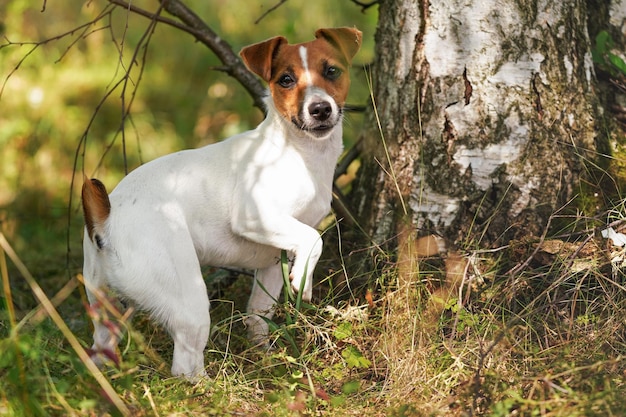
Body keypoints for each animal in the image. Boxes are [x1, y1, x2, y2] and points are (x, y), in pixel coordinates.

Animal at [80, 27, 360, 378]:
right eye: (285, 80)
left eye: (332, 71)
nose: (320, 109)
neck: (297, 151)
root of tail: (107, 219)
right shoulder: (255, 216)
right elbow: (313, 238)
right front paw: (304, 278)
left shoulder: (272, 261)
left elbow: (258, 314)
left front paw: (265, 357)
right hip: (189, 302)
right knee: (184, 368)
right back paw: (209, 385)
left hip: (103, 308)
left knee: (99, 351)